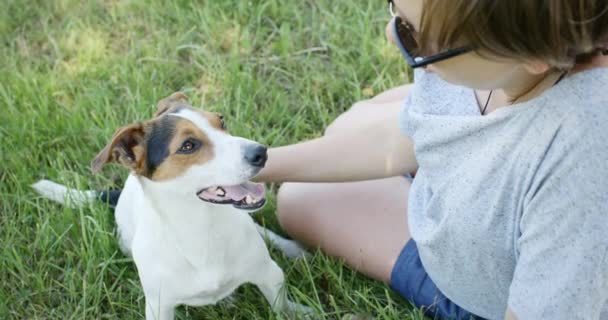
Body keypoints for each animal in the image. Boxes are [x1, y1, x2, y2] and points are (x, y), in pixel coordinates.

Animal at [32, 92, 314, 320]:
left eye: (221, 121)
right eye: (188, 145)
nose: (261, 152)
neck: (200, 229)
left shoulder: (269, 274)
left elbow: (281, 305)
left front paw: (300, 312)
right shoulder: (159, 306)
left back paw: (292, 248)